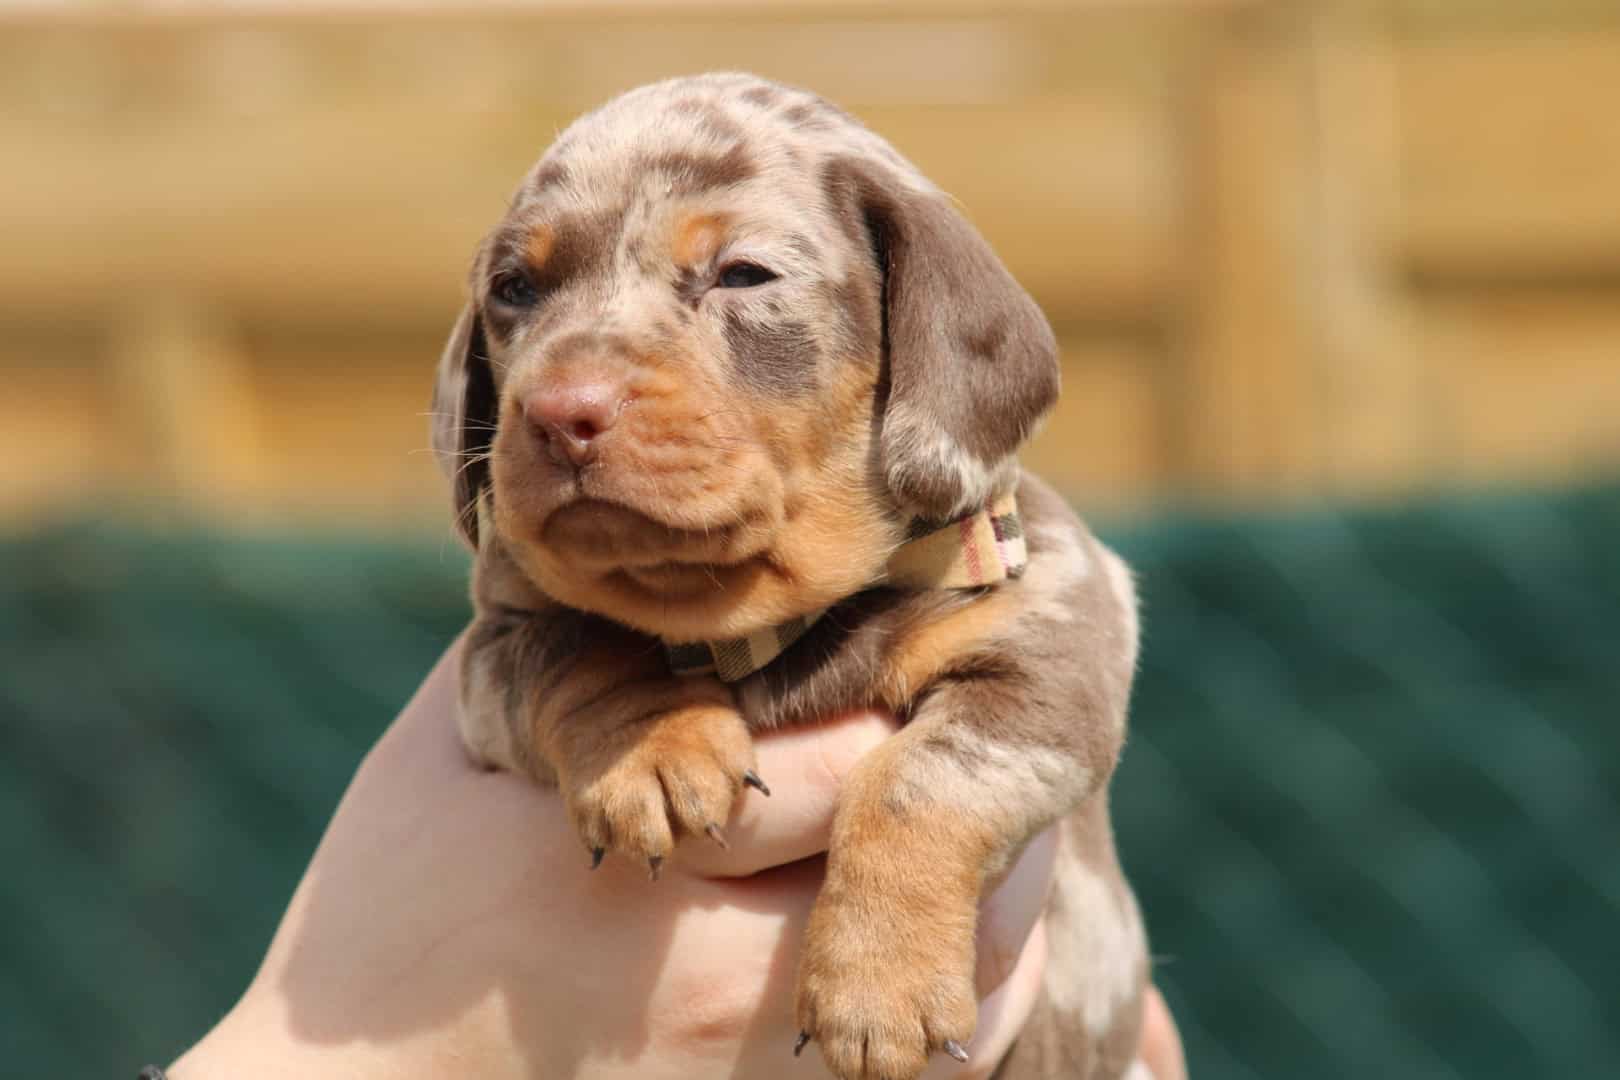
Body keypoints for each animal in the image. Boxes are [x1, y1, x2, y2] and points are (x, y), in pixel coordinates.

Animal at [424, 74, 1146, 1080]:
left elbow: (920, 781)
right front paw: (647, 742)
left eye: (741, 275)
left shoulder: (1052, 643)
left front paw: (876, 984)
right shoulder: (489, 657)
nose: (561, 413)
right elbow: (577, 643)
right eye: (514, 289)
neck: (755, 621)